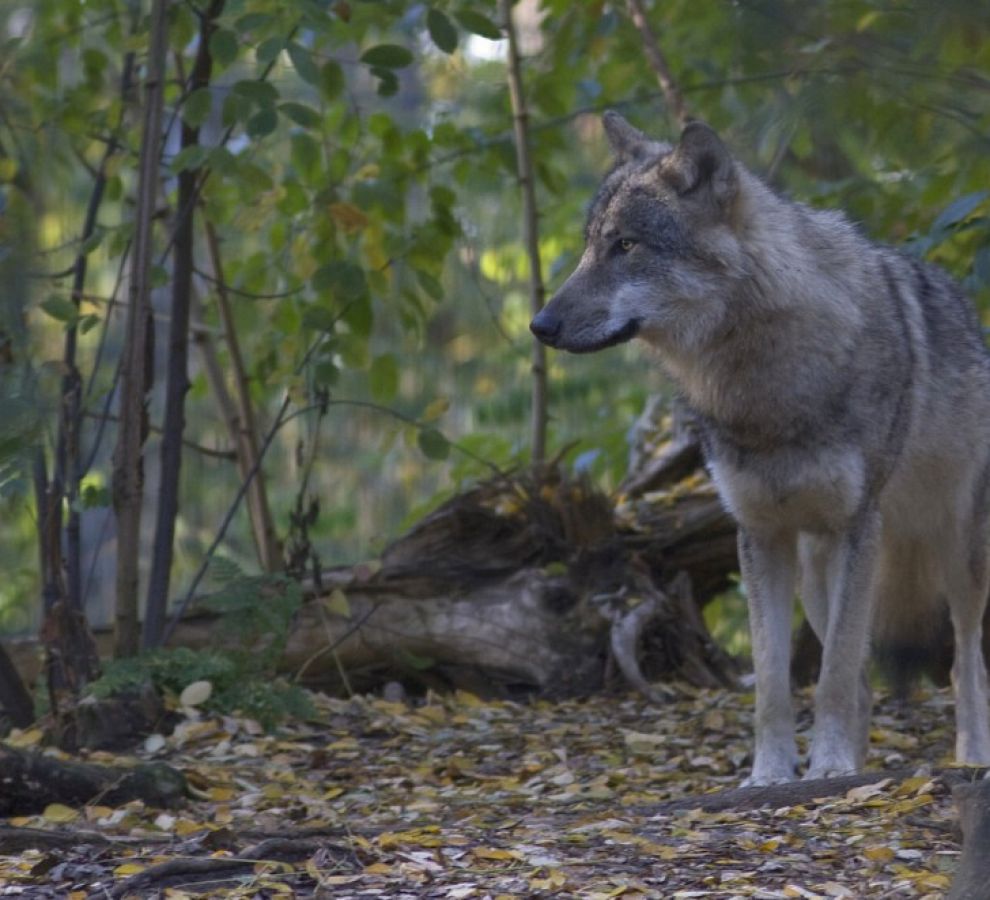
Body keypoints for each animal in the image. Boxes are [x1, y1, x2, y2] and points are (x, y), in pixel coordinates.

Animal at [531, 111, 990, 784]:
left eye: (627, 246)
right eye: (591, 244)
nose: (539, 325)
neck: (762, 385)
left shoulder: (856, 526)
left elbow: (831, 677)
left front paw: (828, 768)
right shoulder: (761, 536)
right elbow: (776, 683)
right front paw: (773, 774)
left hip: (954, 555)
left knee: (964, 661)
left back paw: (968, 757)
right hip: (819, 568)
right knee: (859, 678)